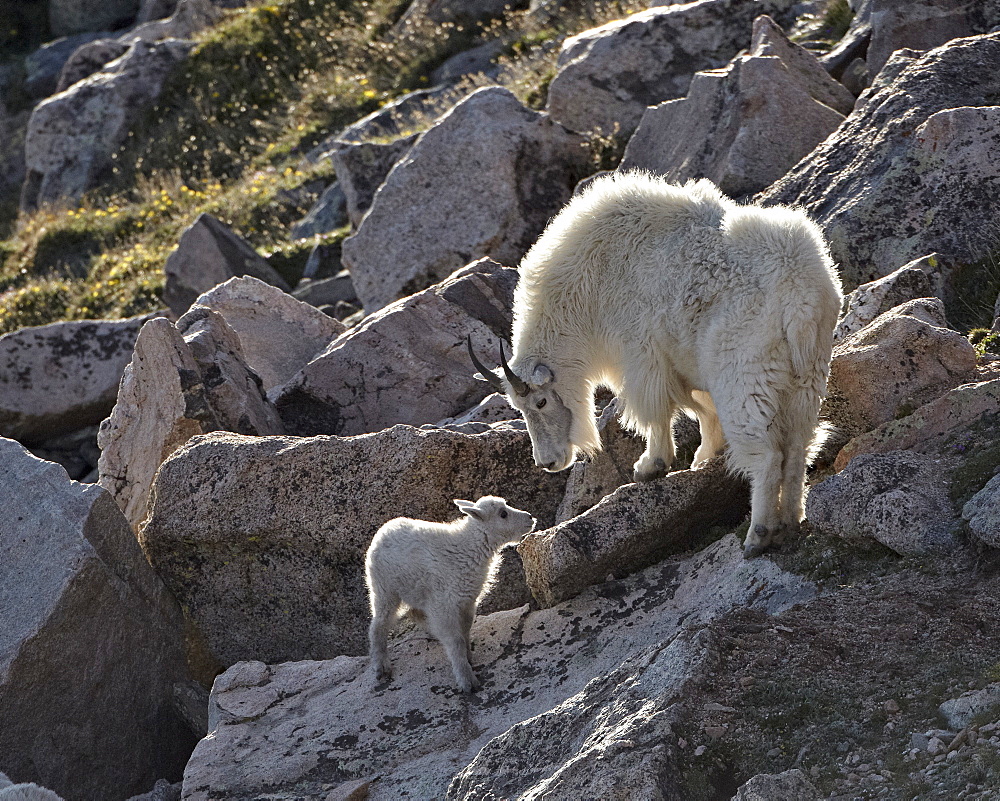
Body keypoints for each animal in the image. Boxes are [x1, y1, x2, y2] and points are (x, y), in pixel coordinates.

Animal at [470, 172, 844, 556]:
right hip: (807, 375)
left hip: (744, 375)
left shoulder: (641, 352)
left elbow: (656, 411)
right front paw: (702, 458)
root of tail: (800, 298)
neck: (591, 279)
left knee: (767, 454)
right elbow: (700, 409)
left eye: (540, 401)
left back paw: (759, 535)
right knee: (798, 446)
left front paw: (650, 466)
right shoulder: (683, 361)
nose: (547, 463)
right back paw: (790, 522)